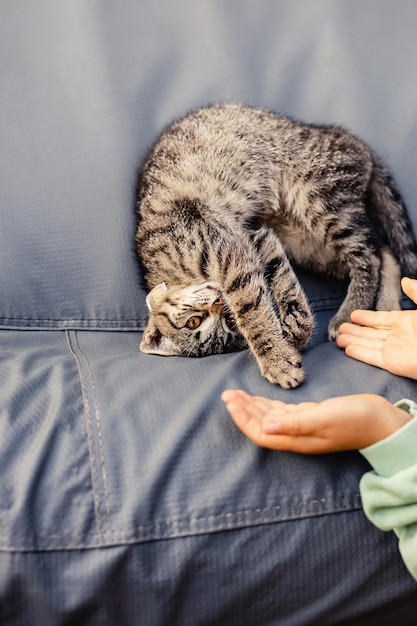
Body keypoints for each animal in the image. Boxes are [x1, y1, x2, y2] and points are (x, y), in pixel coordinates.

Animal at [136, 102, 416, 386]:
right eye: (226, 323)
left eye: (193, 322)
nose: (218, 303)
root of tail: (352, 141)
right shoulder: (258, 236)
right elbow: (281, 283)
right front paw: (293, 331)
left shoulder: (230, 251)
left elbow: (254, 311)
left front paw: (277, 361)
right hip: (305, 243)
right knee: (383, 251)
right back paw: (387, 306)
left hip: (319, 199)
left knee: (367, 258)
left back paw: (348, 313)